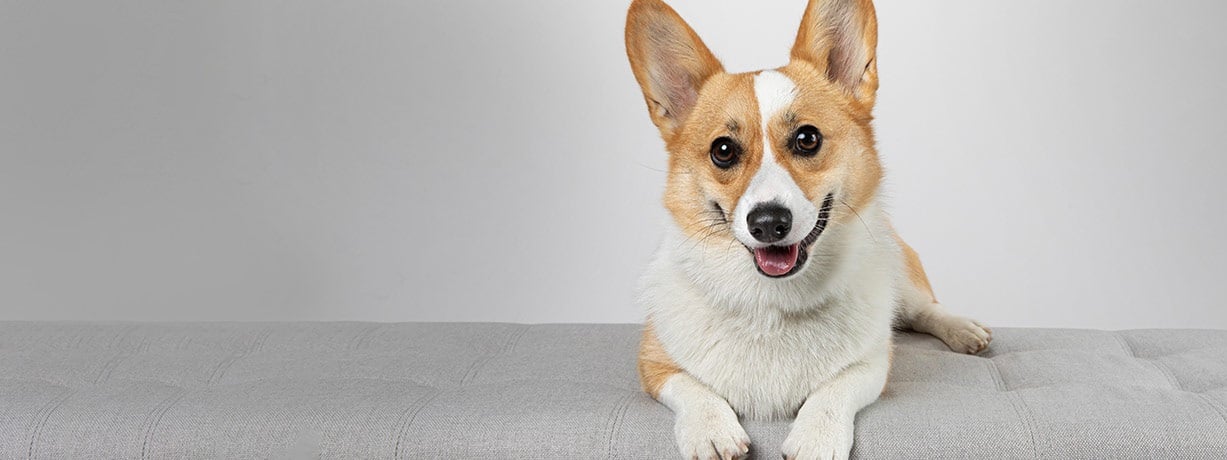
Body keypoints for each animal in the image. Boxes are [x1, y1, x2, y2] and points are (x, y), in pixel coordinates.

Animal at [628, 0, 991, 458]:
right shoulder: (654, 364)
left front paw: (815, 437)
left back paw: (964, 330)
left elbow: (834, 389)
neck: (772, 304)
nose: (768, 223)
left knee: (924, 309)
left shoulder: (872, 364)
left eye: (807, 138)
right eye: (722, 150)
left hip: (900, 275)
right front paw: (710, 430)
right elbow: (692, 387)